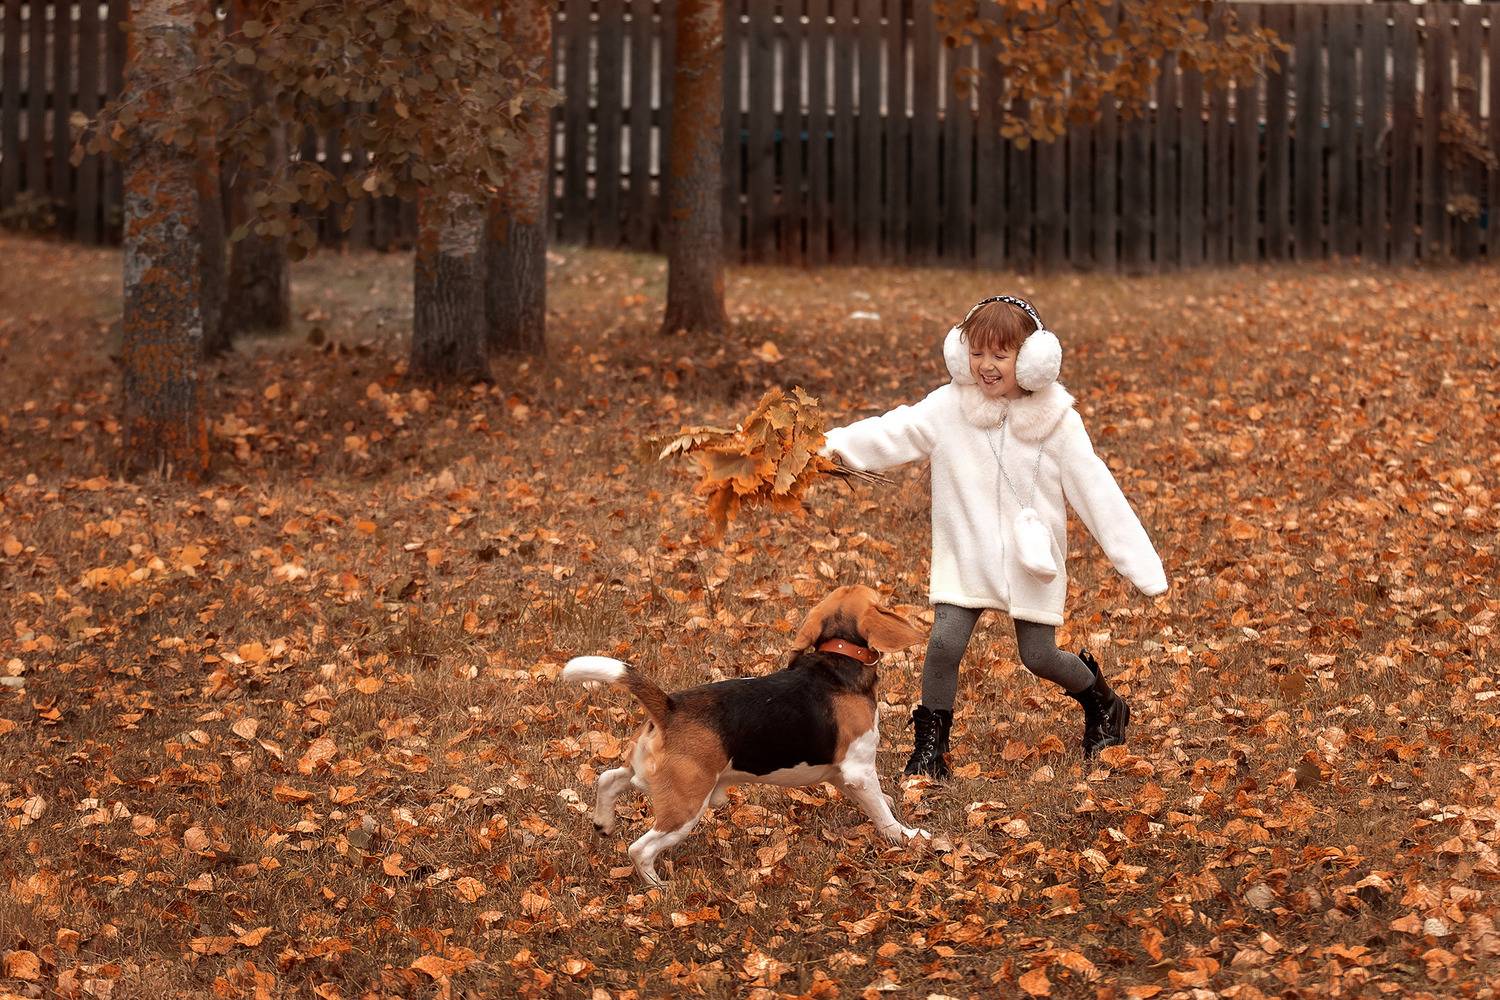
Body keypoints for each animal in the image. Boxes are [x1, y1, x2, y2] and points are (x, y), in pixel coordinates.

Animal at [562, 584, 930, 885]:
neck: (837, 660)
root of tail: (669, 706)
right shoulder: (858, 771)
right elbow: (884, 814)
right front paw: (908, 836)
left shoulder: (840, 774)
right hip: (685, 806)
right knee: (640, 848)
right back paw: (659, 888)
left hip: (649, 774)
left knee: (609, 778)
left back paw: (603, 822)